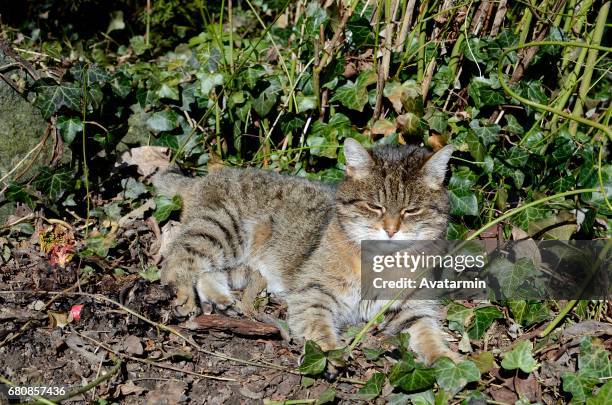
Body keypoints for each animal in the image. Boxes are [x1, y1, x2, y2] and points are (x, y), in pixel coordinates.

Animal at [153, 139, 460, 362]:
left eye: (412, 210)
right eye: (375, 206)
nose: (391, 229)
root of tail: (204, 178)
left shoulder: (410, 306)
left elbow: (427, 333)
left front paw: (448, 363)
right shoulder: (314, 291)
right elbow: (316, 324)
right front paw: (329, 352)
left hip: (242, 265)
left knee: (209, 272)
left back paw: (220, 299)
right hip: (221, 229)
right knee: (177, 261)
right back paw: (185, 296)